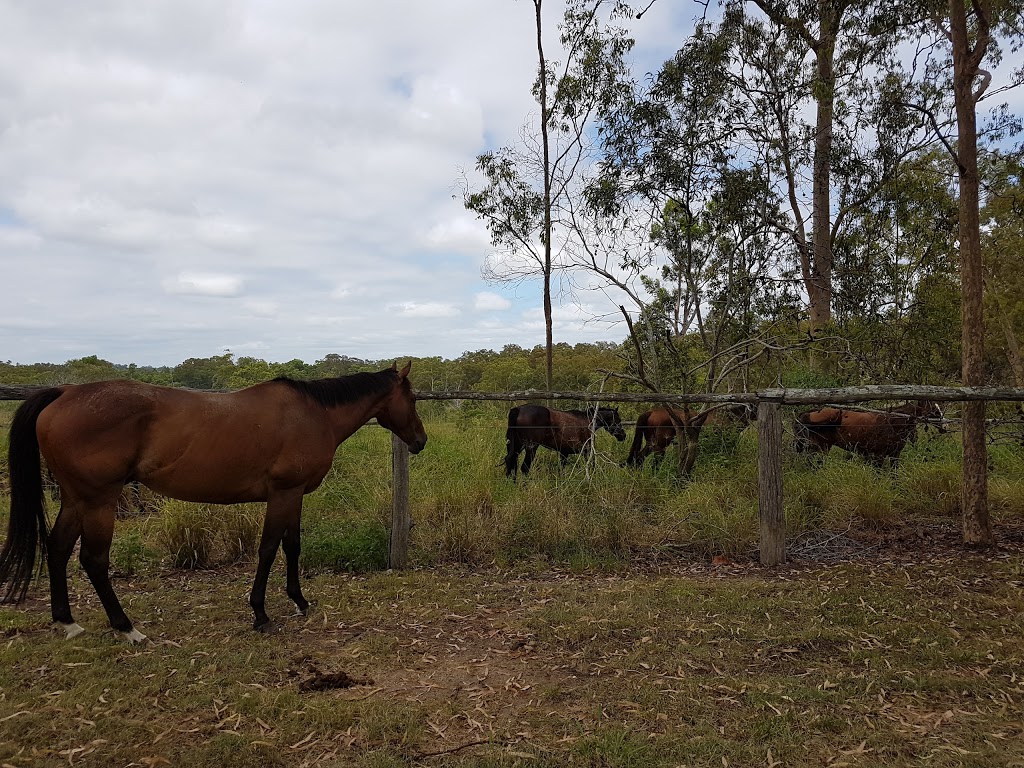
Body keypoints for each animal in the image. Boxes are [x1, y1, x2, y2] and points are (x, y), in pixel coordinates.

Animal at [0, 364, 423, 638]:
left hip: (76, 499)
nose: (420, 440)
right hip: (99, 501)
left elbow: (292, 545)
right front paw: (260, 614)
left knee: (57, 549)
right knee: (93, 560)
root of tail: (65, 392)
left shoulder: (294, 495)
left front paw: (299, 601)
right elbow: (269, 549)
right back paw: (126, 628)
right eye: (413, 397)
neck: (312, 413)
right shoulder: (283, 493)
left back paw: (66, 622)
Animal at [790, 399, 942, 466]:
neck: (893, 422)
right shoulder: (879, 455)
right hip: (819, 448)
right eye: (933, 408)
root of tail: (806, 413)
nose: (942, 424)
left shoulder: (894, 455)